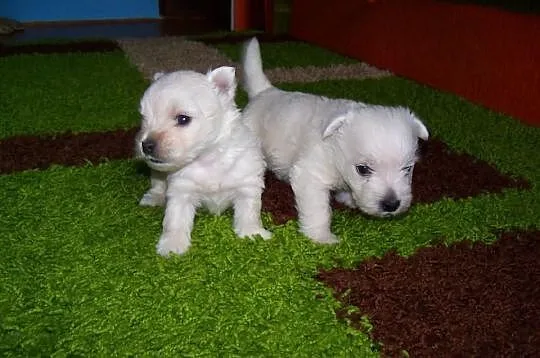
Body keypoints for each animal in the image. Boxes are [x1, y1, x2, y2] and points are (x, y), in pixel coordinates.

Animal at [135, 66, 270, 258]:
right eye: (144, 118)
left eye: (183, 118)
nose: (145, 145)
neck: (208, 158)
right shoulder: (181, 191)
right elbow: (174, 220)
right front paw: (172, 245)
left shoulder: (247, 183)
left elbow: (250, 212)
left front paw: (253, 233)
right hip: (158, 171)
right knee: (157, 182)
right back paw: (153, 197)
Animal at [243, 37, 428, 245]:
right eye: (363, 169)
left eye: (407, 168)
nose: (391, 204)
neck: (336, 150)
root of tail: (265, 92)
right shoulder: (310, 175)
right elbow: (319, 211)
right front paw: (322, 237)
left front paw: (347, 198)